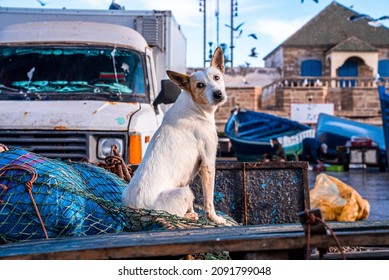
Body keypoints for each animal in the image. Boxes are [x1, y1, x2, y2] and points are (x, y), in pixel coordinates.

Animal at [119, 47, 226, 224]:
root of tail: (135, 211)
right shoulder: (208, 162)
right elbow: (209, 199)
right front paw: (215, 218)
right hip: (184, 191)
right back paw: (190, 215)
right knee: (174, 215)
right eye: (200, 85)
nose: (218, 94)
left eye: (217, 77)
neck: (195, 107)